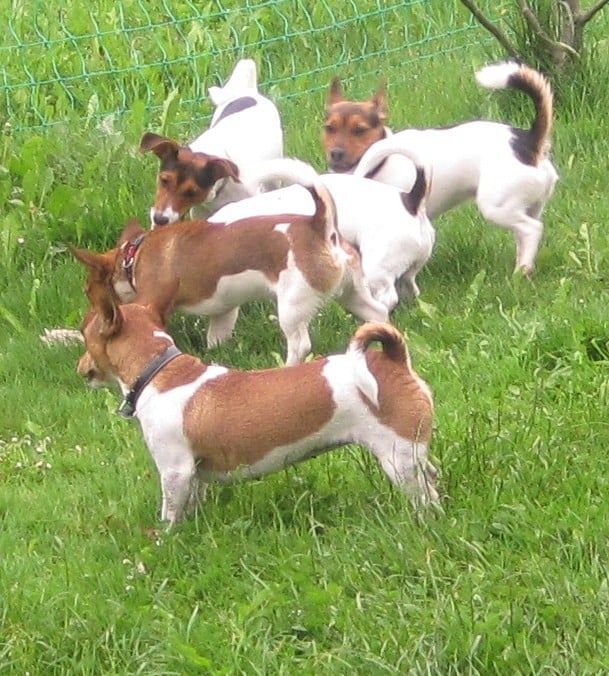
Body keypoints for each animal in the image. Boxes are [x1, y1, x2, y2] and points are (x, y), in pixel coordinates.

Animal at [71, 180, 388, 366]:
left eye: (87, 291)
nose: (84, 324)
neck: (133, 255)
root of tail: (320, 227)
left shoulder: (150, 301)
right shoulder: (224, 311)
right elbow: (217, 335)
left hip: (292, 305)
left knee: (300, 344)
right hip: (353, 294)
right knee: (378, 313)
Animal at [75, 266, 439, 524]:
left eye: (83, 333)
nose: (80, 367)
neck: (160, 370)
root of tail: (393, 360)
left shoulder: (175, 470)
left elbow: (170, 515)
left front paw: (167, 541)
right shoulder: (193, 473)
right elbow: (194, 501)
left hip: (398, 459)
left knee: (422, 498)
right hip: (412, 452)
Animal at [325, 62, 559, 274]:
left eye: (360, 130)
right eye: (328, 128)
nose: (335, 153)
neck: (381, 163)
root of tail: (528, 142)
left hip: (496, 206)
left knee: (531, 229)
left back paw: (521, 271)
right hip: (528, 205)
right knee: (526, 232)